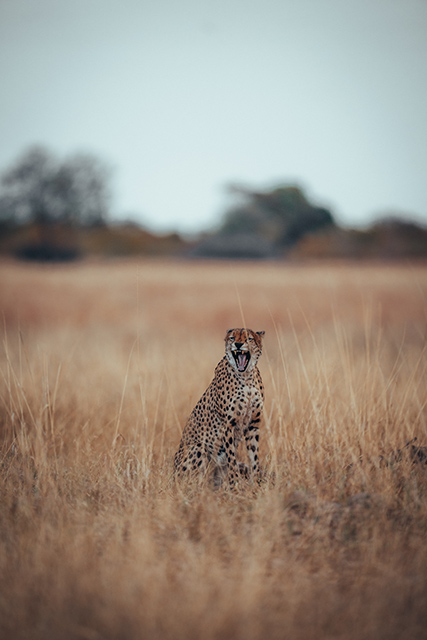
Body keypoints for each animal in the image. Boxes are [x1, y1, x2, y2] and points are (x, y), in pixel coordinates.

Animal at [174, 328, 265, 487]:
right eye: (232, 338)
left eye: (249, 338)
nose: (238, 344)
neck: (246, 376)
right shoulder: (228, 425)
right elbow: (232, 459)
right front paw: (235, 485)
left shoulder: (253, 424)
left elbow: (254, 457)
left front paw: (256, 484)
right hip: (198, 447)